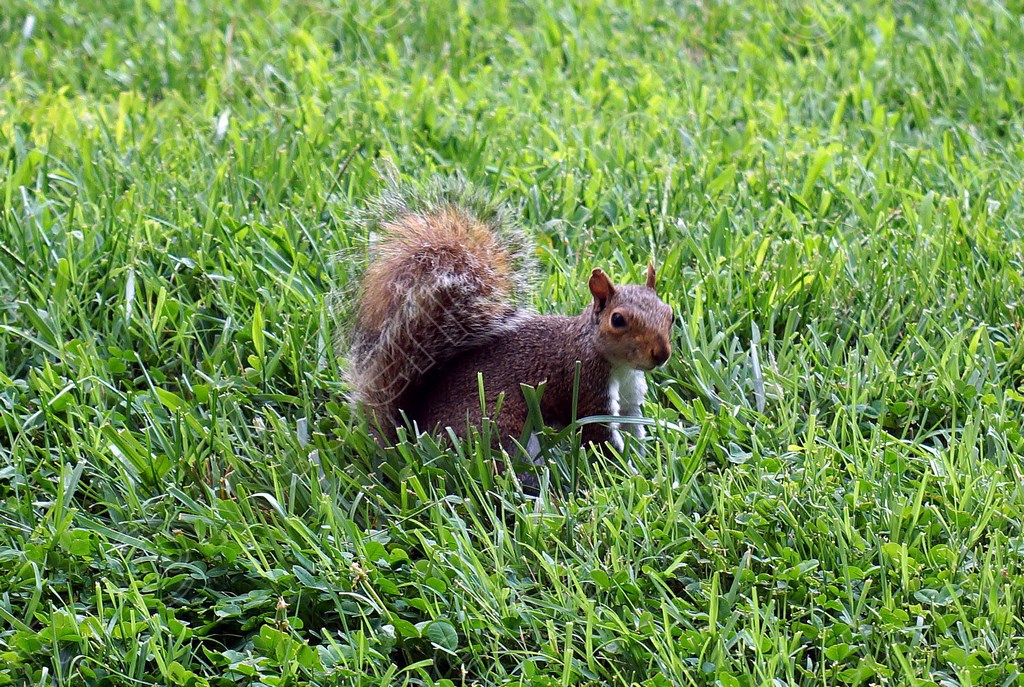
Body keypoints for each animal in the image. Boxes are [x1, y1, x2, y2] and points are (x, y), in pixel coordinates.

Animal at [343, 178, 673, 454]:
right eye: (617, 320)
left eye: (669, 314)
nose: (661, 354)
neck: (619, 366)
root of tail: (415, 435)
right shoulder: (585, 386)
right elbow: (600, 438)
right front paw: (627, 471)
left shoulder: (629, 401)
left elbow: (633, 431)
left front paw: (646, 459)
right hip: (498, 427)